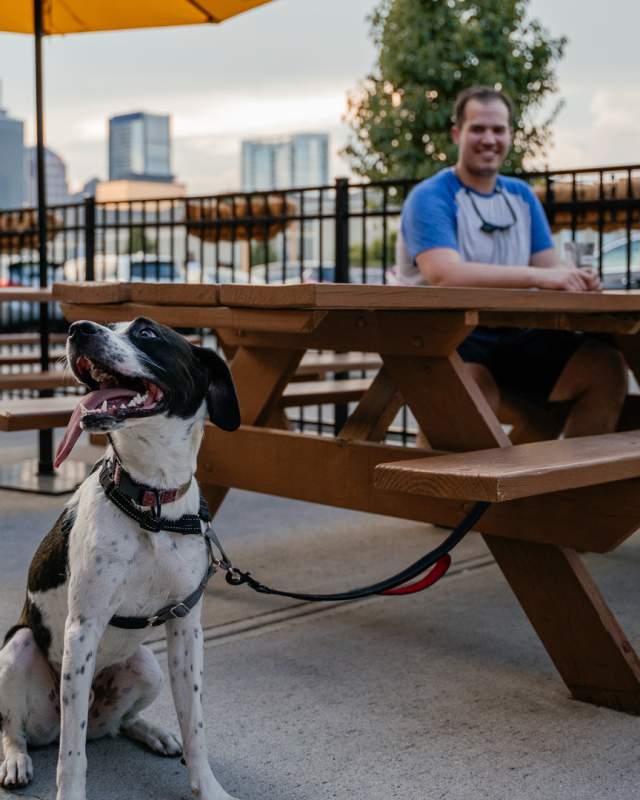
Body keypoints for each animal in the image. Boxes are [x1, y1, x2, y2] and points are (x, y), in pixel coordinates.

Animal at [0, 318, 242, 800]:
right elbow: (72, 755)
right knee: (19, 729)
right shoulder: (82, 629)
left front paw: (207, 787)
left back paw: (153, 732)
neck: (151, 502)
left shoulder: (187, 630)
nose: (77, 329)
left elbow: (195, 725)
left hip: (147, 667)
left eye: (147, 333)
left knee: (119, 724)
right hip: (16, 650)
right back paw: (17, 759)